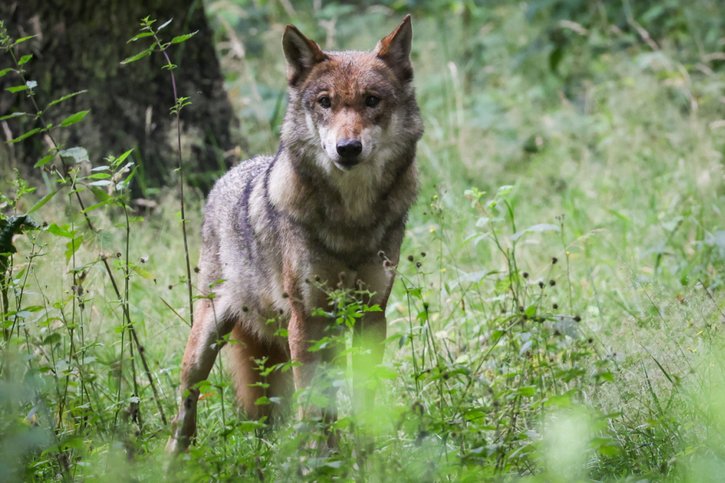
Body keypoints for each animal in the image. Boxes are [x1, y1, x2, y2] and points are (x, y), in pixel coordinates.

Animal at [166, 15, 422, 454]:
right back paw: (173, 459)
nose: (347, 148)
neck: (351, 219)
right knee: (185, 405)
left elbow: (363, 397)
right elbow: (311, 403)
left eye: (372, 100)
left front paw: (366, 455)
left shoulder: (372, 315)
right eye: (325, 102)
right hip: (206, 341)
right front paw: (315, 459)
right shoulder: (306, 319)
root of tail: (228, 175)